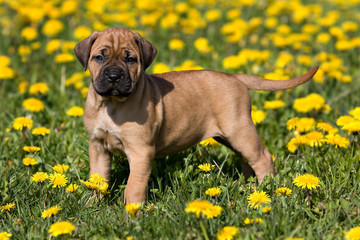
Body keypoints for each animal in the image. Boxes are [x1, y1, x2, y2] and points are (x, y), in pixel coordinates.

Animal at [74, 27, 318, 203]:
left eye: (130, 59)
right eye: (99, 58)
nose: (114, 76)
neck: (111, 104)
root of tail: (234, 77)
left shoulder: (140, 151)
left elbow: (134, 186)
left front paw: (132, 214)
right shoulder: (98, 147)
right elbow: (97, 179)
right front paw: (93, 205)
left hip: (239, 130)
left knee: (263, 158)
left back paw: (266, 189)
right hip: (232, 136)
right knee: (247, 159)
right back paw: (249, 186)